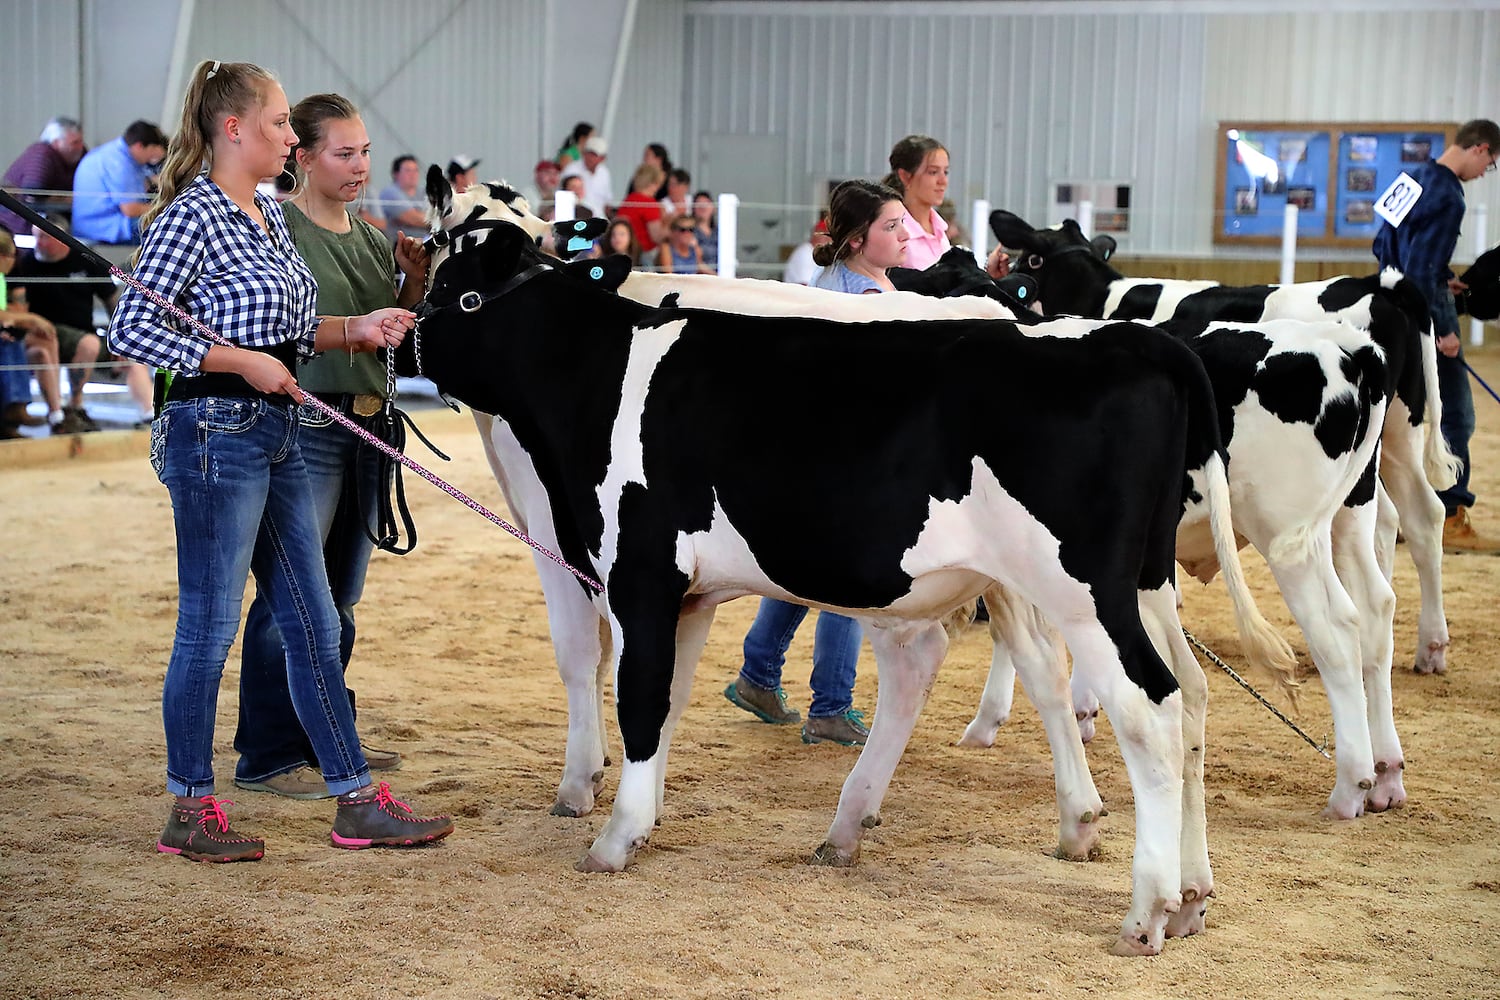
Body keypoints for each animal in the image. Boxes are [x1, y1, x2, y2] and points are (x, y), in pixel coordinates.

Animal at [417, 217, 1296, 953]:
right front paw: (646, 815)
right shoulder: (688, 594)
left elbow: (633, 698)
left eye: (450, 284)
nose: (406, 337)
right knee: (1191, 700)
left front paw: (611, 835)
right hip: (1143, 585)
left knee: (1150, 711)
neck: (600, 376)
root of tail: (1135, 344)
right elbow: (664, 702)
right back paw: (1191, 896)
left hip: (1084, 592)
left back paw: (1147, 911)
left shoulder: (634, 572)